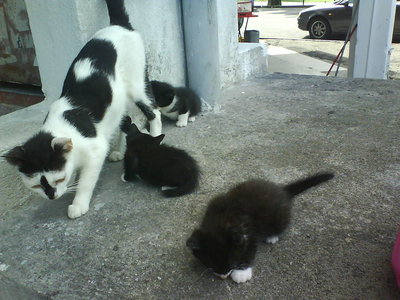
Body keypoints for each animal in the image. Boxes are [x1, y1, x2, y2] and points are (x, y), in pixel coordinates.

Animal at [2, 0, 161, 220]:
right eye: (36, 186)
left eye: (58, 179)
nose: (52, 196)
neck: (63, 126)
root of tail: (118, 25)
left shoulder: (96, 149)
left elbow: (86, 180)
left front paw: (78, 202)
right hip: (116, 99)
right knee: (124, 119)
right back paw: (119, 151)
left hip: (137, 84)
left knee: (153, 111)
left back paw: (155, 136)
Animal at [187, 172, 334, 282]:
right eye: (210, 263)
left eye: (233, 261)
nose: (223, 275)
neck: (221, 221)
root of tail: (282, 190)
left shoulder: (250, 230)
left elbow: (250, 249)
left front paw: (241, 273)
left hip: (279, 218)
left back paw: (272, 237)